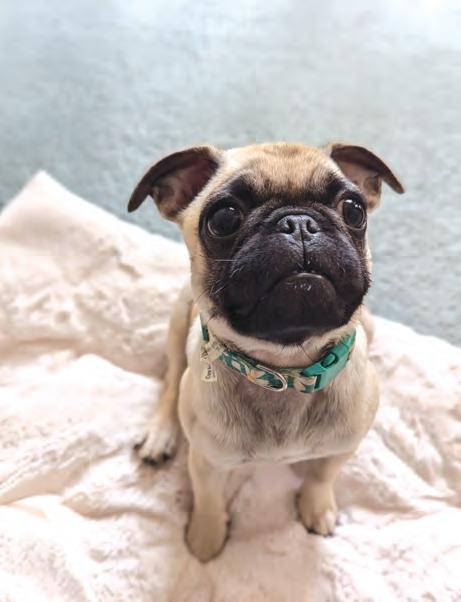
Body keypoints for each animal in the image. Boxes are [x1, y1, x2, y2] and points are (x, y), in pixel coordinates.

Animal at [128, 142, 403, 562]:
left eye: (354, 209)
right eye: (224, 218)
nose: (298, 223)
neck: (286, 371)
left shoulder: (343, 447)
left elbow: (322, 475)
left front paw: (316, 508)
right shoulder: (206, 462)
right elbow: (209, 500)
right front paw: (206, 537)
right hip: (177, 326)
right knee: (172, 381)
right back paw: (160, 434)